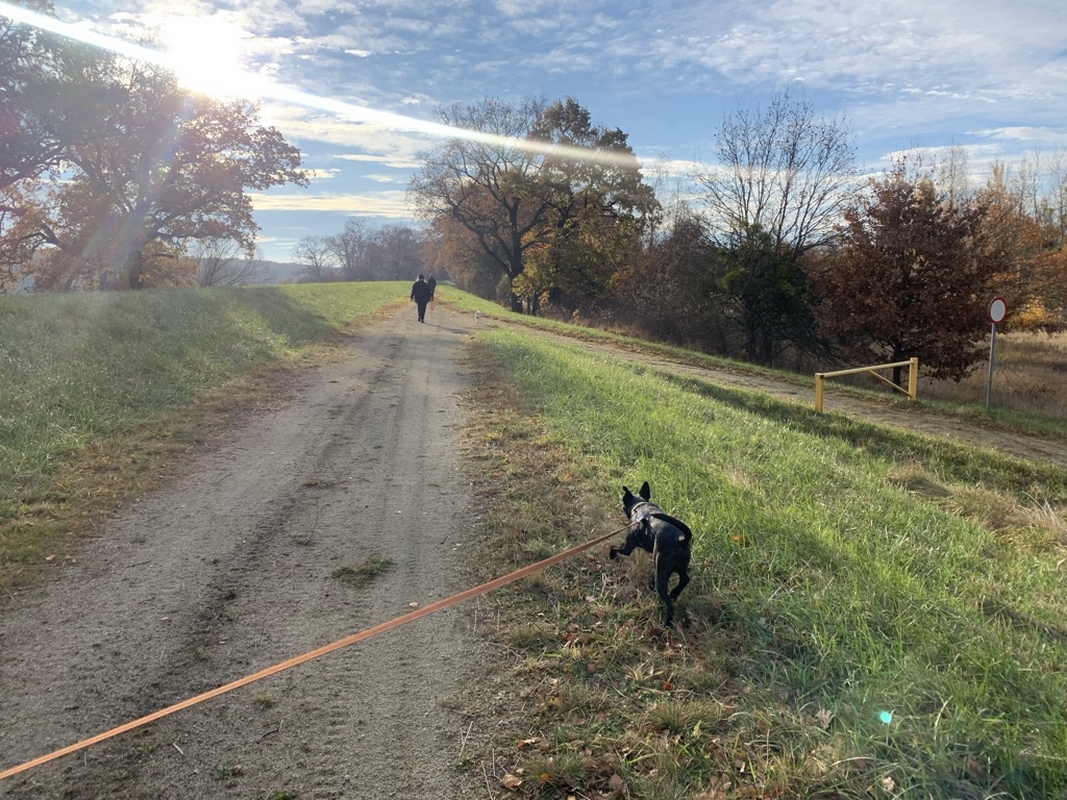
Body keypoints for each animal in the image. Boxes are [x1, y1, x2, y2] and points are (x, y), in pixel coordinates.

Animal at [610, 482, 691, 627]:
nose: (621, 507)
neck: (640, 506)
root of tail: (681, 539)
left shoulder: (627, 548)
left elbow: (614, 547)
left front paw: (611, 555)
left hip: (662, 571)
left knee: (669, 604)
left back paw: (668, 623)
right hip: (679, 566)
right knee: (685, 579)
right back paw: (674, 593)